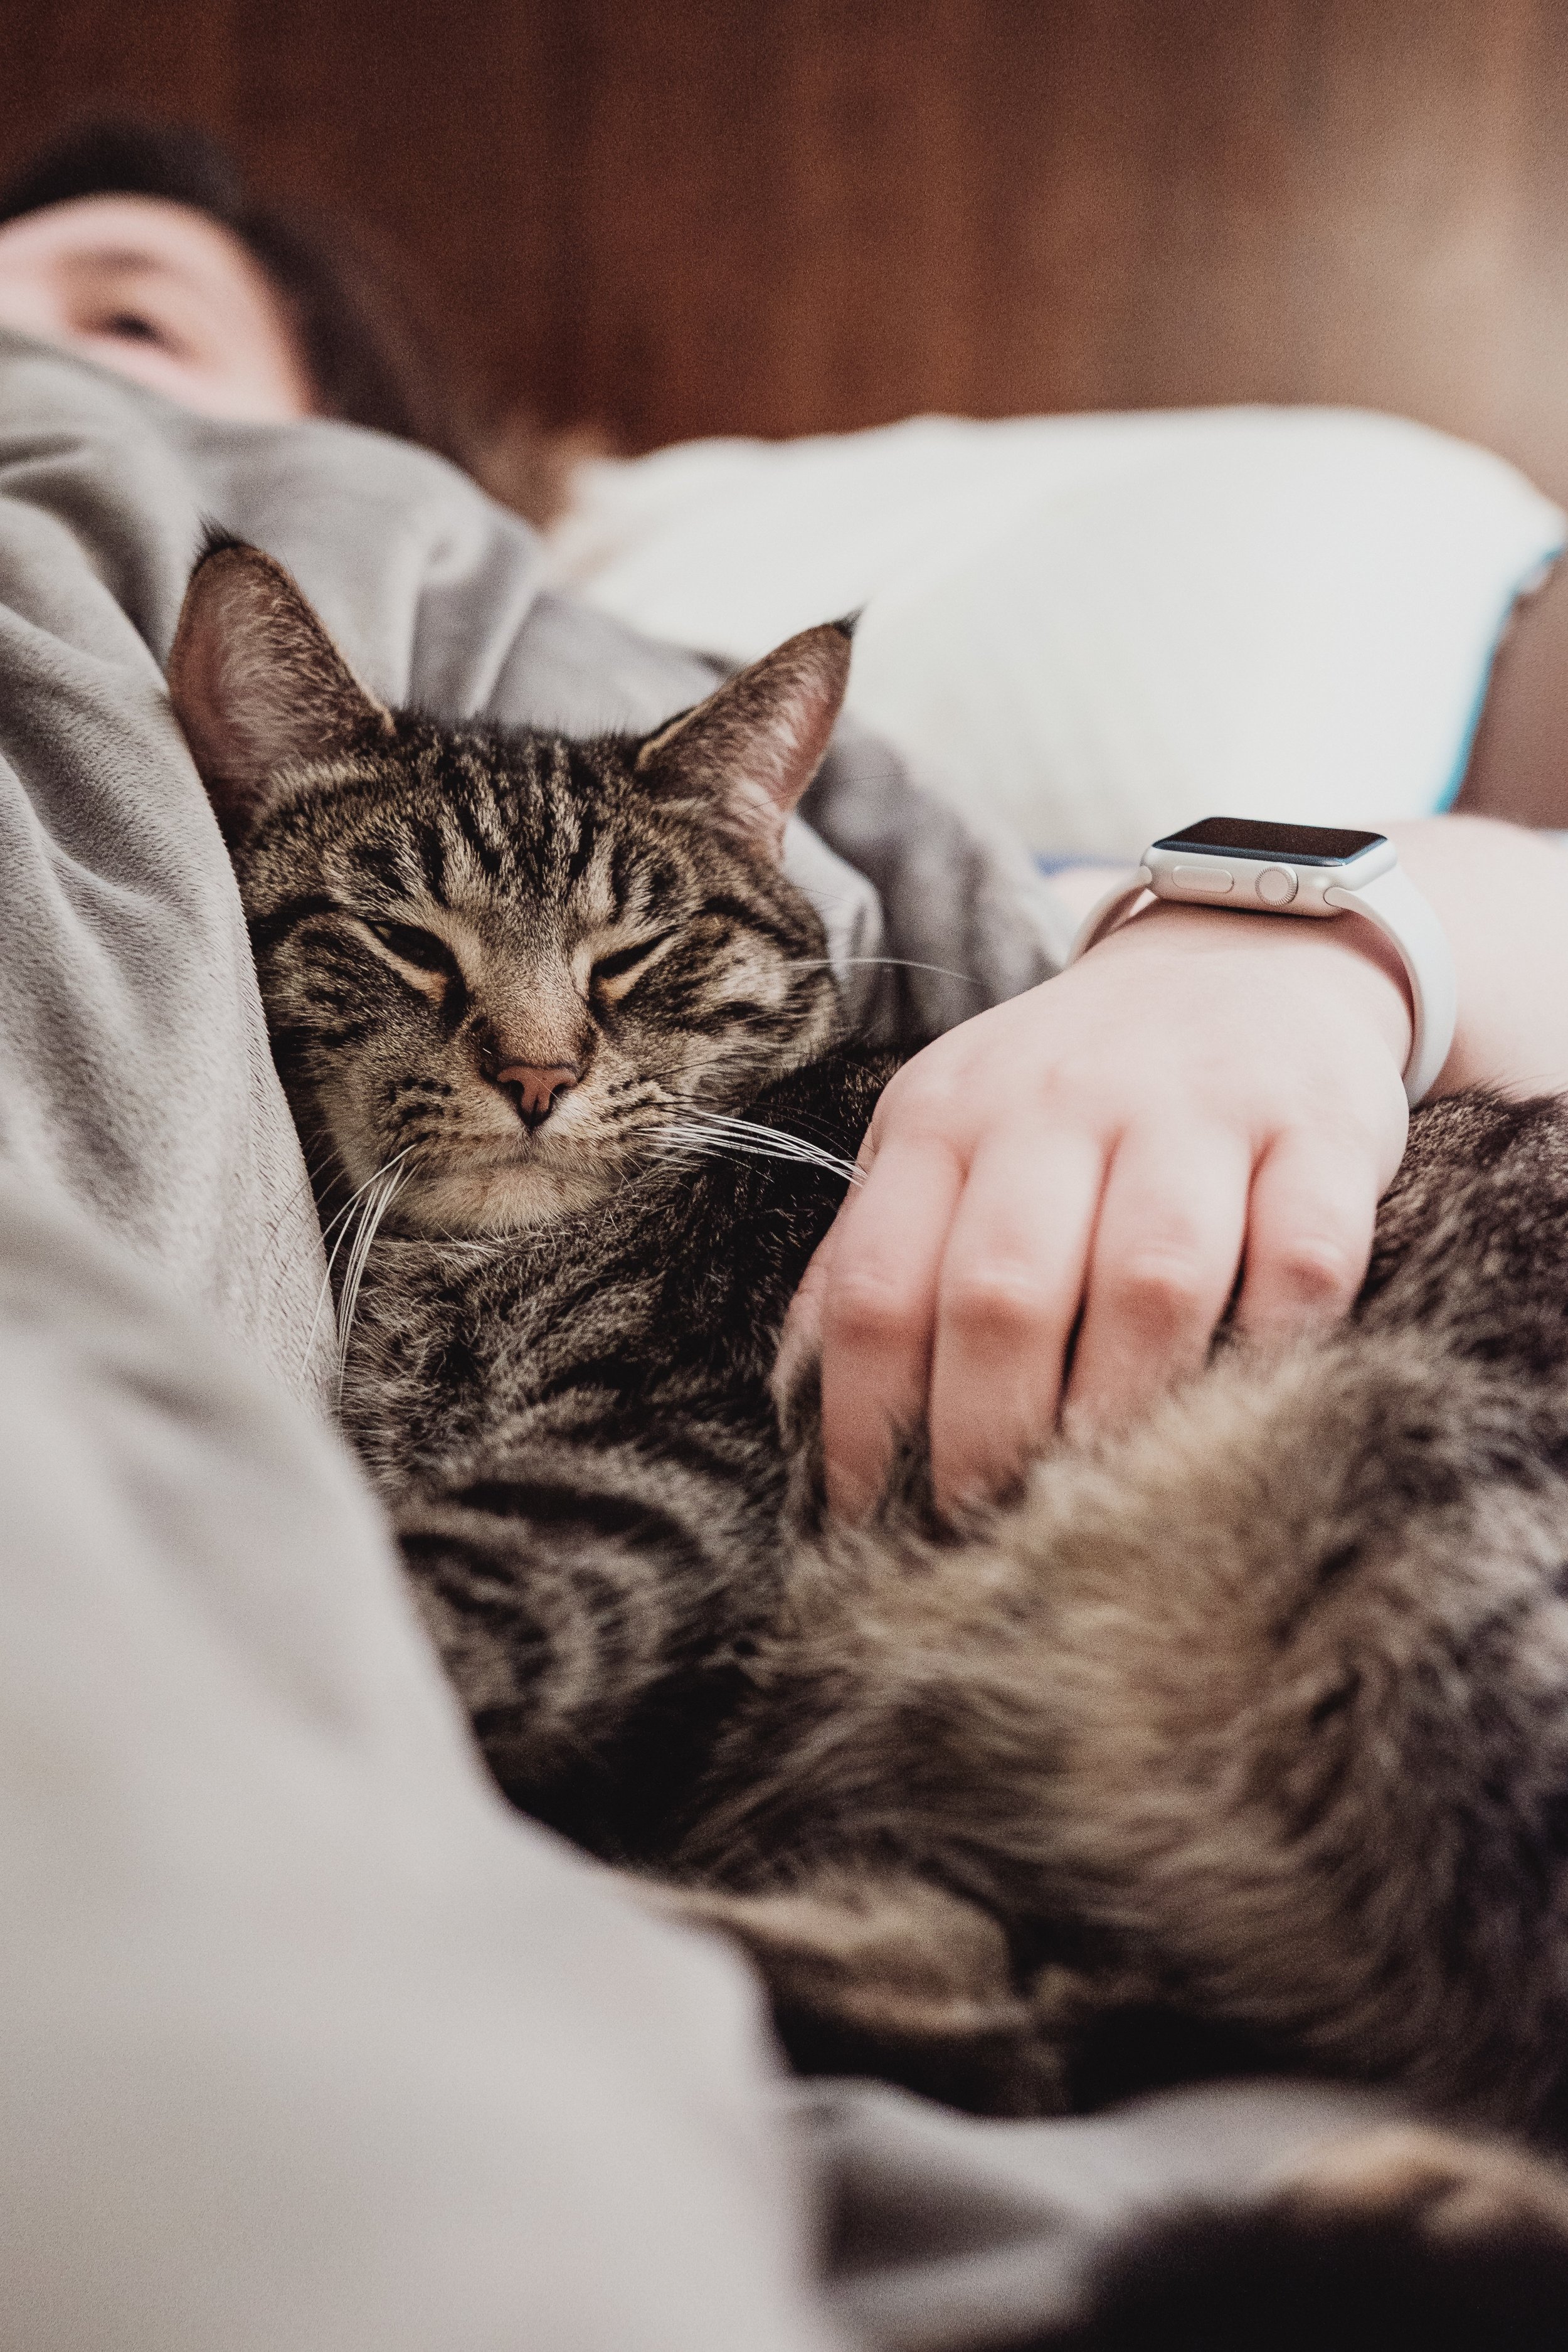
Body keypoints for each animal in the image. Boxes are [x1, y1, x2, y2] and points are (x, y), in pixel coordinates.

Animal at [169, 534, 1568, 2239]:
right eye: (407, 941)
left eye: (637, 957)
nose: (538, 1074)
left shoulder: (655, 1470)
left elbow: (408, 1600)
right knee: (1001, 2010)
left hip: (1434, 1519)